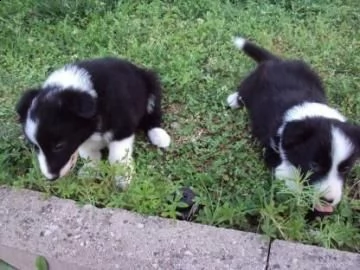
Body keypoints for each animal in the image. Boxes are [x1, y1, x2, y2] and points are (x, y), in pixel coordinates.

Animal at [15, 57, 170, 188]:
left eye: (59, 146)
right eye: (35, 147)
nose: (51, 178)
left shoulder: (122, 129)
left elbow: (117, 157)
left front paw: (123, 178)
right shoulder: (82, 137)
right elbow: (89, 153)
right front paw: (90, 170)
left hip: (152, 85)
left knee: (153, 116)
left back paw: (159, 135)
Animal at [228, 35, 360, 214]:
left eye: (345, 169)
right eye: (314, 165)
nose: (327, 201)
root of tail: (276, 61)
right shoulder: (273, 153)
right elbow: (289, 176)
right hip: (252, 83)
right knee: (243, 90)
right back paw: (234, 99)